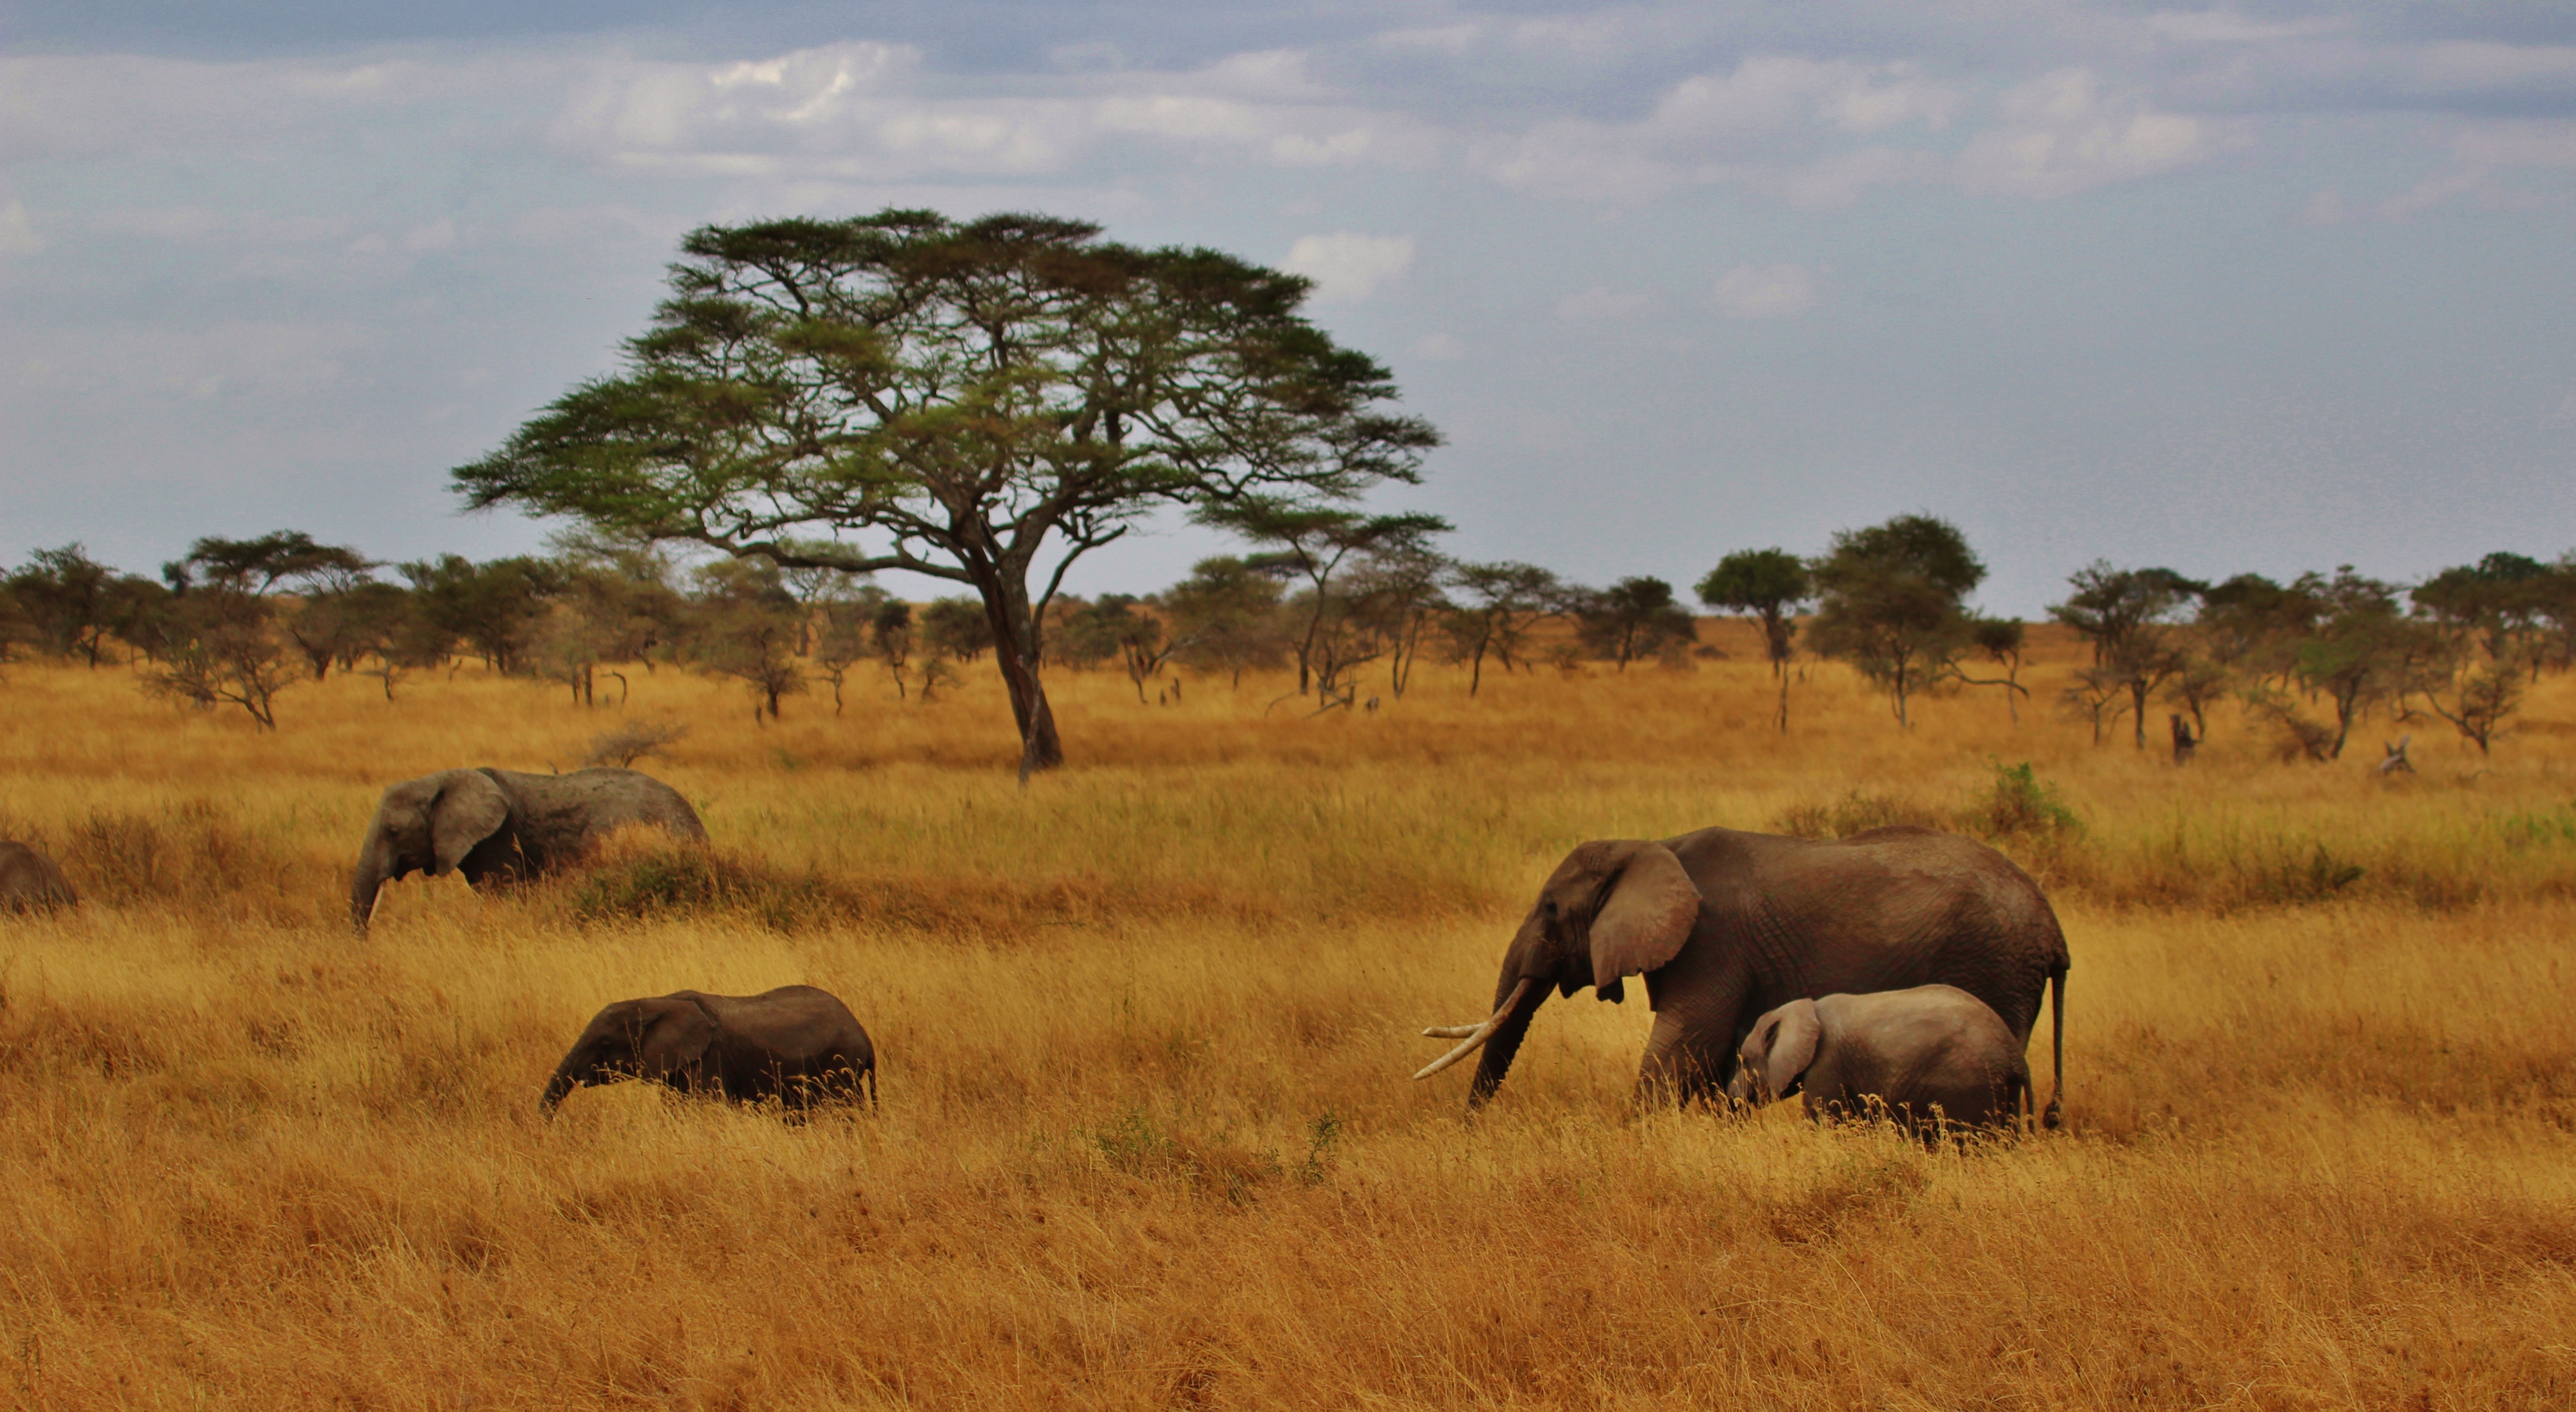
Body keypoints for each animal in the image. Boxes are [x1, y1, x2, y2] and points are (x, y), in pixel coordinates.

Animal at [1411, 829, 2071, 1123]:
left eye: (1550, 909)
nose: (1469, 1129)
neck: (1649, 846)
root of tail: (2053, 929)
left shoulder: (1711, 943)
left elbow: (1684, 1046)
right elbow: (1707, 1058)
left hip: (1996, 964)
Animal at [1731, 989, 2029, 1144]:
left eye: (1744, 1060)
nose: (1732, 1098)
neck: (1808, 1008)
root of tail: (2015, 1055)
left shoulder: (1827, 1064)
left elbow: (1825, 1121)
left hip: (1968, 1084)